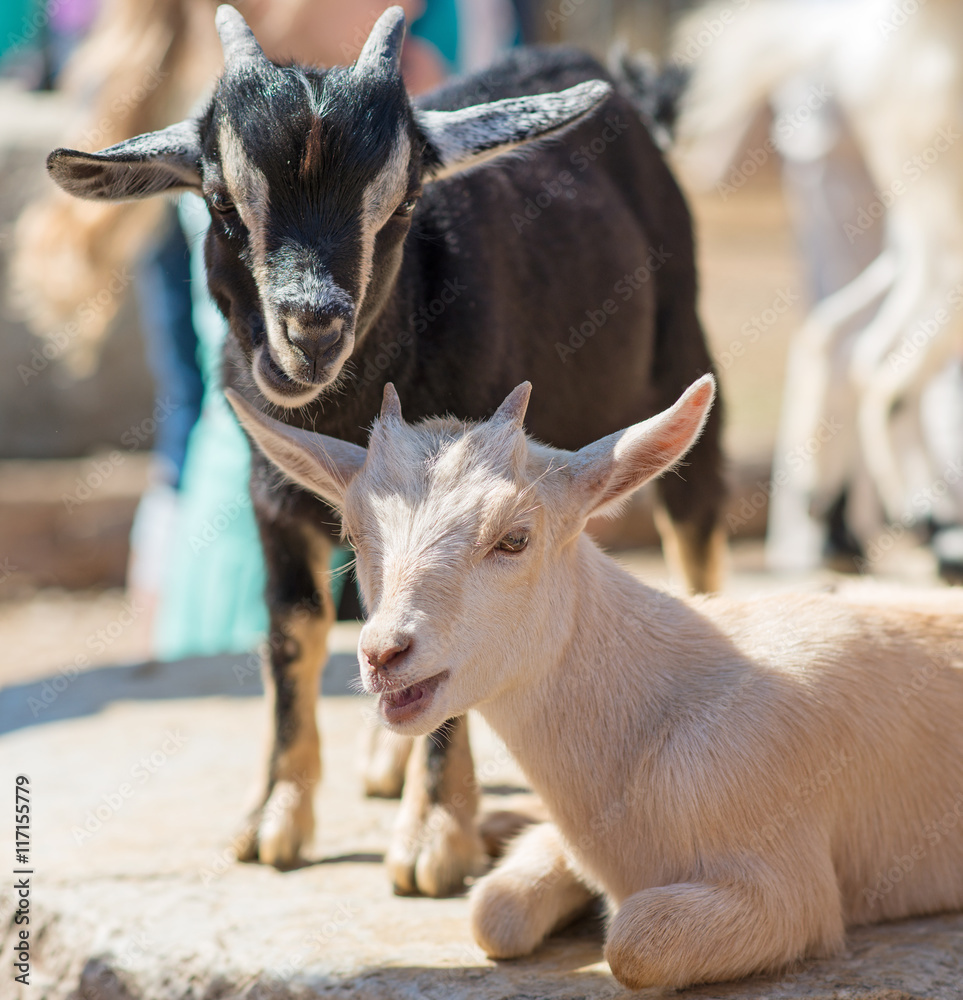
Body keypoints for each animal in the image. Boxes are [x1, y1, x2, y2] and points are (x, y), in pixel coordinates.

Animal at [46, 5, 726, 893]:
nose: (312, 328)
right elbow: (291, 634)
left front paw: (433, 839)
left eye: (401, 205)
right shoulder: (274, 495)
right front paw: (275, 821)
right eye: (222, 203)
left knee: (694, 522)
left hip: (682, 352)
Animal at [229, 376, 963, 990]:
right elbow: (494, 912)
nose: (384, 652)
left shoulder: (790, 886)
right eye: (353, 534)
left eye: (514, 538)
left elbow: (632, 942)